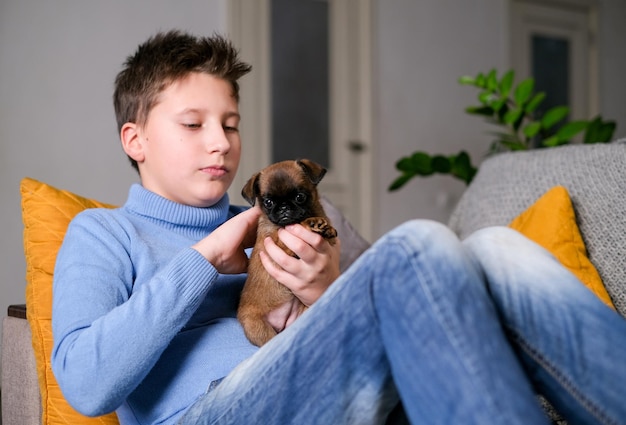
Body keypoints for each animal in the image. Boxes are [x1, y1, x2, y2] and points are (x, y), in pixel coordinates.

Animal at [238, 158, 336, 344]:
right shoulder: (275, 244)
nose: (283, 207)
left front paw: (328, 229)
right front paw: (310, 223)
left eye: (300, 197)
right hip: (259, 329)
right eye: (268, 202)